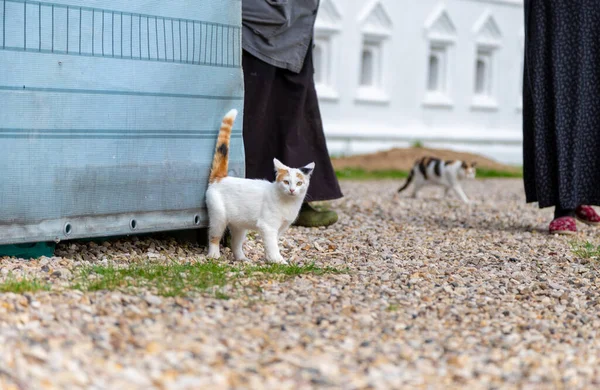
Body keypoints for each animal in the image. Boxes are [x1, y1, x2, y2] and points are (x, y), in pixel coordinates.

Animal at [205, 108, 314, 264]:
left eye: (299, 183)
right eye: (286, 182)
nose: (292, 190)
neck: (288, 203)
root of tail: (221, 177)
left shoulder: (280, 228)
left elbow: (271, 243)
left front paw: (270, 259)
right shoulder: (268, 226)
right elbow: (272, 244)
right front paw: (279, 261)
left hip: (239, 225)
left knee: (235, 243)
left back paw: (242, 259)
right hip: (218, 217)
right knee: (214, 236)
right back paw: (214, 255)